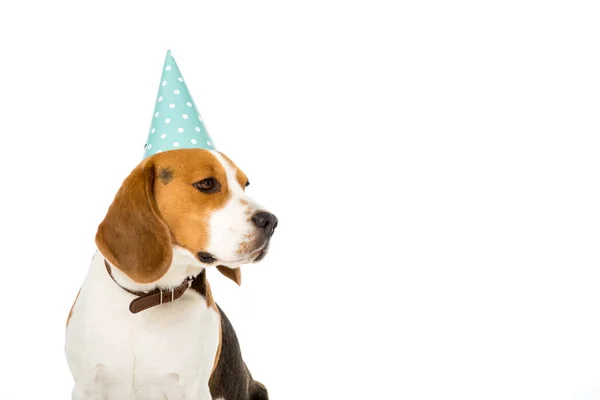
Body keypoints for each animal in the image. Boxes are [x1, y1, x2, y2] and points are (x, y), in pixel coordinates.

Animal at [67, 148, 278, 398]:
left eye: (245, 185)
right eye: (207, 183)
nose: (271, 221)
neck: (147, 298)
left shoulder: (193, 389)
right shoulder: (86, 386)